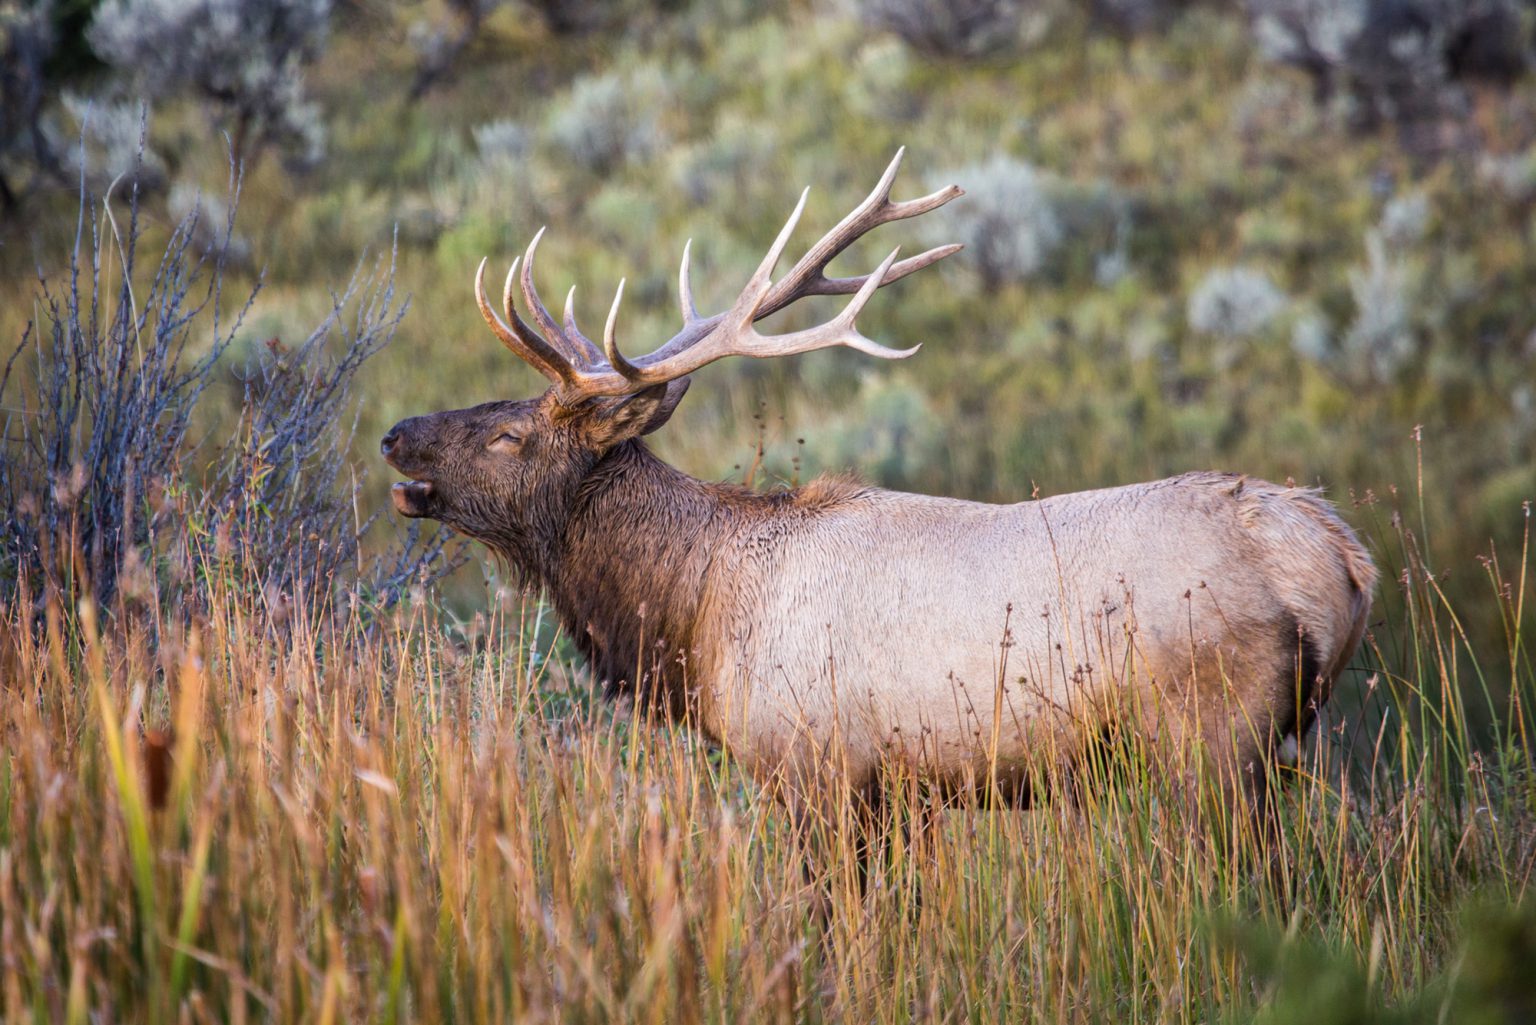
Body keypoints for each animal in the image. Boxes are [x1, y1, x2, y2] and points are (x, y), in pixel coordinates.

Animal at [387, 150, 1382, 872]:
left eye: (510, 434)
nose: (398, 436)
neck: (697, 615)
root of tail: (1339, 558)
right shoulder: (898, 792)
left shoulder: (816, 768)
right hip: (1285, 742)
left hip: (1211, 739)